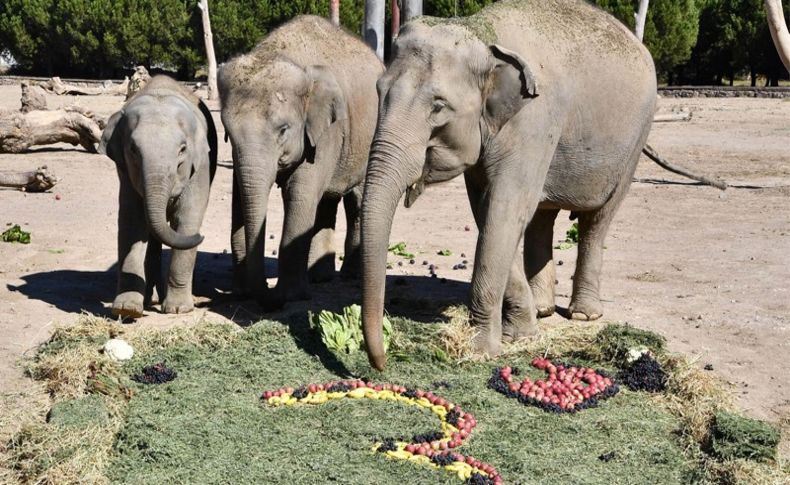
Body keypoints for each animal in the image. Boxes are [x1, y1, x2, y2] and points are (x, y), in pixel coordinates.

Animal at [102, 74, 221, 318]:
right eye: (133, 149)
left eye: (183, 149)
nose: (202, 236)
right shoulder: (125, 172)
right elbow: (132, 222)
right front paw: (127, 309)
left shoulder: (200, 165)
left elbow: (187, 219)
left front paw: (178, 309)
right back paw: (150, 299)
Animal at [221, 18, 386, 310]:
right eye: (227, 130)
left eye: (283, 129)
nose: (264, 293)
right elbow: (239, 198)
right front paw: (241, 293)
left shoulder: (328, 131)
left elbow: (299, 194)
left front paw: (289, 297)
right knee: (326, 201)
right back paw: (319, 277)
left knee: (355, 201)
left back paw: (350, 276)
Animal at [362, 0, 660, 368]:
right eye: (379, 91)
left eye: (438, 106)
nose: (381, 362)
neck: (480, 34)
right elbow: (488, 209)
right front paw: (522, 333)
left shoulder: (533, 119)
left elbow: (504, 209)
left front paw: (481, 350)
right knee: (542, 215)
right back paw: (544, 308)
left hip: (635, 141)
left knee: (597, 219)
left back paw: (584, 315)